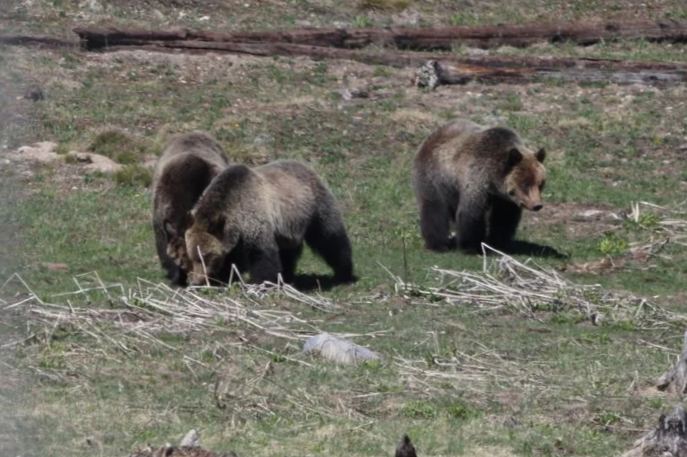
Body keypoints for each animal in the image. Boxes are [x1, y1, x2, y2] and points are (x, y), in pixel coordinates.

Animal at [183, 160, 356, 287]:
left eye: (206, 256)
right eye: (192, 257)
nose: (195, 281)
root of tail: (307, 166)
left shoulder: (253, 216)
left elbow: (262, 252)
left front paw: (258, 282)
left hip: (315, 208)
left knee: (330, 239)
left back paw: (344, 273)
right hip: (288, 227)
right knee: (288, 251)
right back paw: (286, 275)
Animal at [411, 118, 546, 254]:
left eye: (540, 184)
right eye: (526, 183)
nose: (537, 205)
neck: (494, 180)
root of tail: (429, 137)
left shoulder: (504, 199)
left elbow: (504, 218)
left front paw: (498, 243)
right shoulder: (476, 179)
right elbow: (471, 213)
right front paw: (471, 247)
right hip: (435, 177)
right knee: (434, 208)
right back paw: (437, 245)